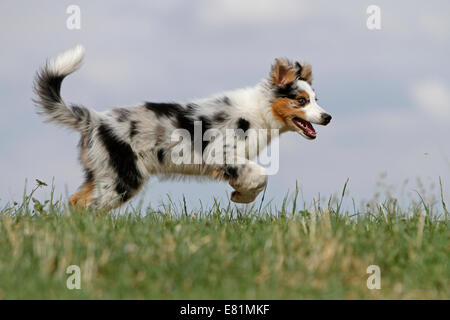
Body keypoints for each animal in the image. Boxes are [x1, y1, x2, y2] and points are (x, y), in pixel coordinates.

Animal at [34, 45, 330, 210]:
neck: (260, 109)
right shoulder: (221, 154)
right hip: (123, 178)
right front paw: (241, 196)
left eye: (316, 99)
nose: (327, 117)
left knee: (76, 202)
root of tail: (94, 119)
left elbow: (255, 177)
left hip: (105, 173)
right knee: (88, 205)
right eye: (301, 101)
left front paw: (240, 194)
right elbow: (261, 175)